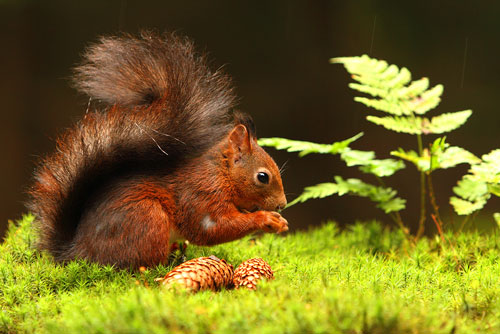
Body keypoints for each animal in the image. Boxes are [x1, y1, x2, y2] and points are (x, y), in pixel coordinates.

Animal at [28, 32, 290, 268]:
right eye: (263, 177)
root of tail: (77, 252)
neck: (221, 173)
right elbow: (214, 229)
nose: (282, 204)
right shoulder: (202, 196)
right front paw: (267, 219)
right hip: (147, 218)